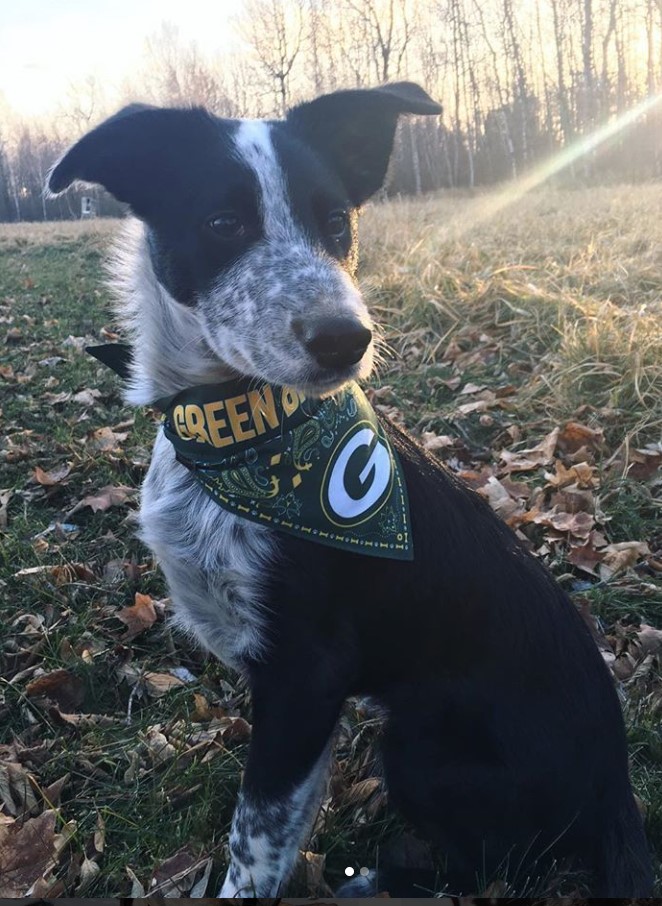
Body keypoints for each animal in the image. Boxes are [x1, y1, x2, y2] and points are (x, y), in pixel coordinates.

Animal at [49, 83, 656, 896]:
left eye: (337, 221)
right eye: (222, 222)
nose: (347, 340)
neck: (239, 430)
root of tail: (618, 791)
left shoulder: (306, 673)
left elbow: (253, 841)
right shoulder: (305, 698)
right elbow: (286, 820)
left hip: (421, 739)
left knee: (494, 866)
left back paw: (381, 878)